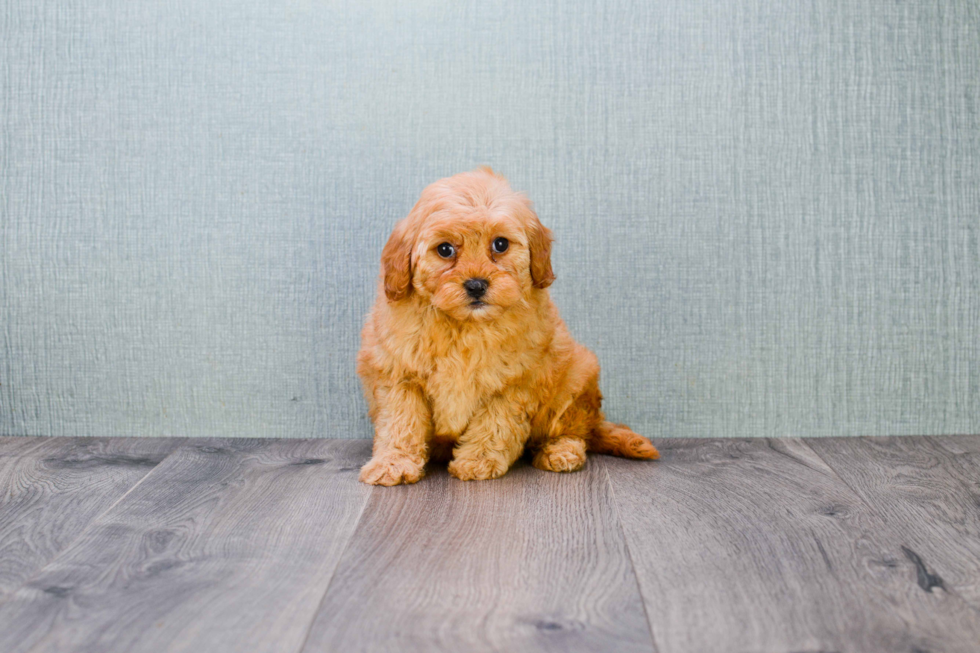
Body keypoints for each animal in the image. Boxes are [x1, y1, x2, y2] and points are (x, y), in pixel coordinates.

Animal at [354, 168, 660, 484]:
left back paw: (561, 451)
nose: (476, 285)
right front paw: (393, 462)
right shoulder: (399, 375)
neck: (466, 327)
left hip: (575, 379)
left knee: (574, 430)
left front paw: (478, 461)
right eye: (445, 250)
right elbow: (401, 422)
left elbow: (495, 423)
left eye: (500, 244)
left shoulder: (514, 382)